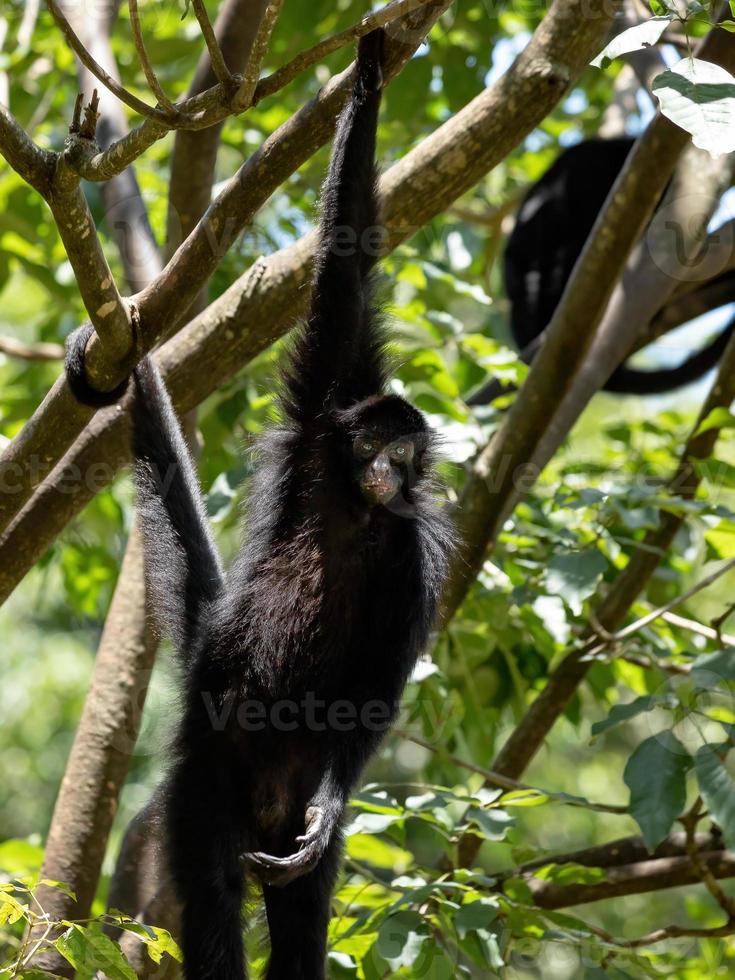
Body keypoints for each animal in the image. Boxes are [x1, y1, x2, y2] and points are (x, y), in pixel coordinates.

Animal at [64, 30, 454, 980]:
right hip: (206, 783)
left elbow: (379, 682)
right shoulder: (323, 419)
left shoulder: (412, 552)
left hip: (276, 815)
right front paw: (369, 70)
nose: (387, 468)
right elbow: (343, 281)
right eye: (372, 447)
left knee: (300, 902)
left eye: (404, 455)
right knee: (210, 896)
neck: (359, 513)